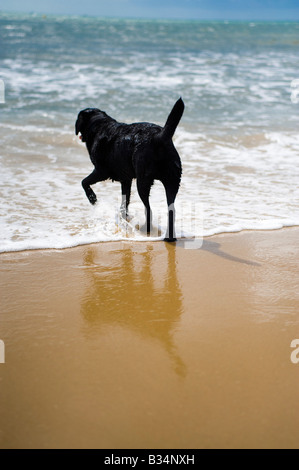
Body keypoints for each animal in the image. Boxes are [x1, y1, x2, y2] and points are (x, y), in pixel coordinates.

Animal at [76, 97, 184, 241]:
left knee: (148, 209)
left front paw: (93, 199)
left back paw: (146, 229)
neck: (99, 125)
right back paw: (169, 237)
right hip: (172, 181)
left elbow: (84, 182)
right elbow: (125, 199)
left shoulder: (101, 171)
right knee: (171, 210)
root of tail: (159, 137)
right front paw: (124, 217)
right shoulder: (126, 179)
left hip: (143, 181)